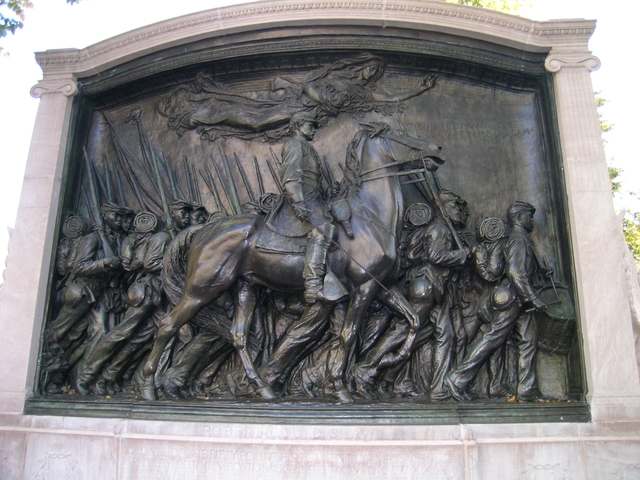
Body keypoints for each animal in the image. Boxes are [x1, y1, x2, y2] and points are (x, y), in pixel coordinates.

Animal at [139, 123, 444, 402]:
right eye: (400, 134)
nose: (437, 150)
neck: (370, 216)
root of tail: (203, 230)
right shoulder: (364, 287)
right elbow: (348, 335)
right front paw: (341, 387)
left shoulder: (381, 286)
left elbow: (413, 320)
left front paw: (393, 358)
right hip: (203, 288)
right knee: (168, 325)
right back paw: (149, 386)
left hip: (245, 288)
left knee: (238, 336)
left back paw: (262, 387)